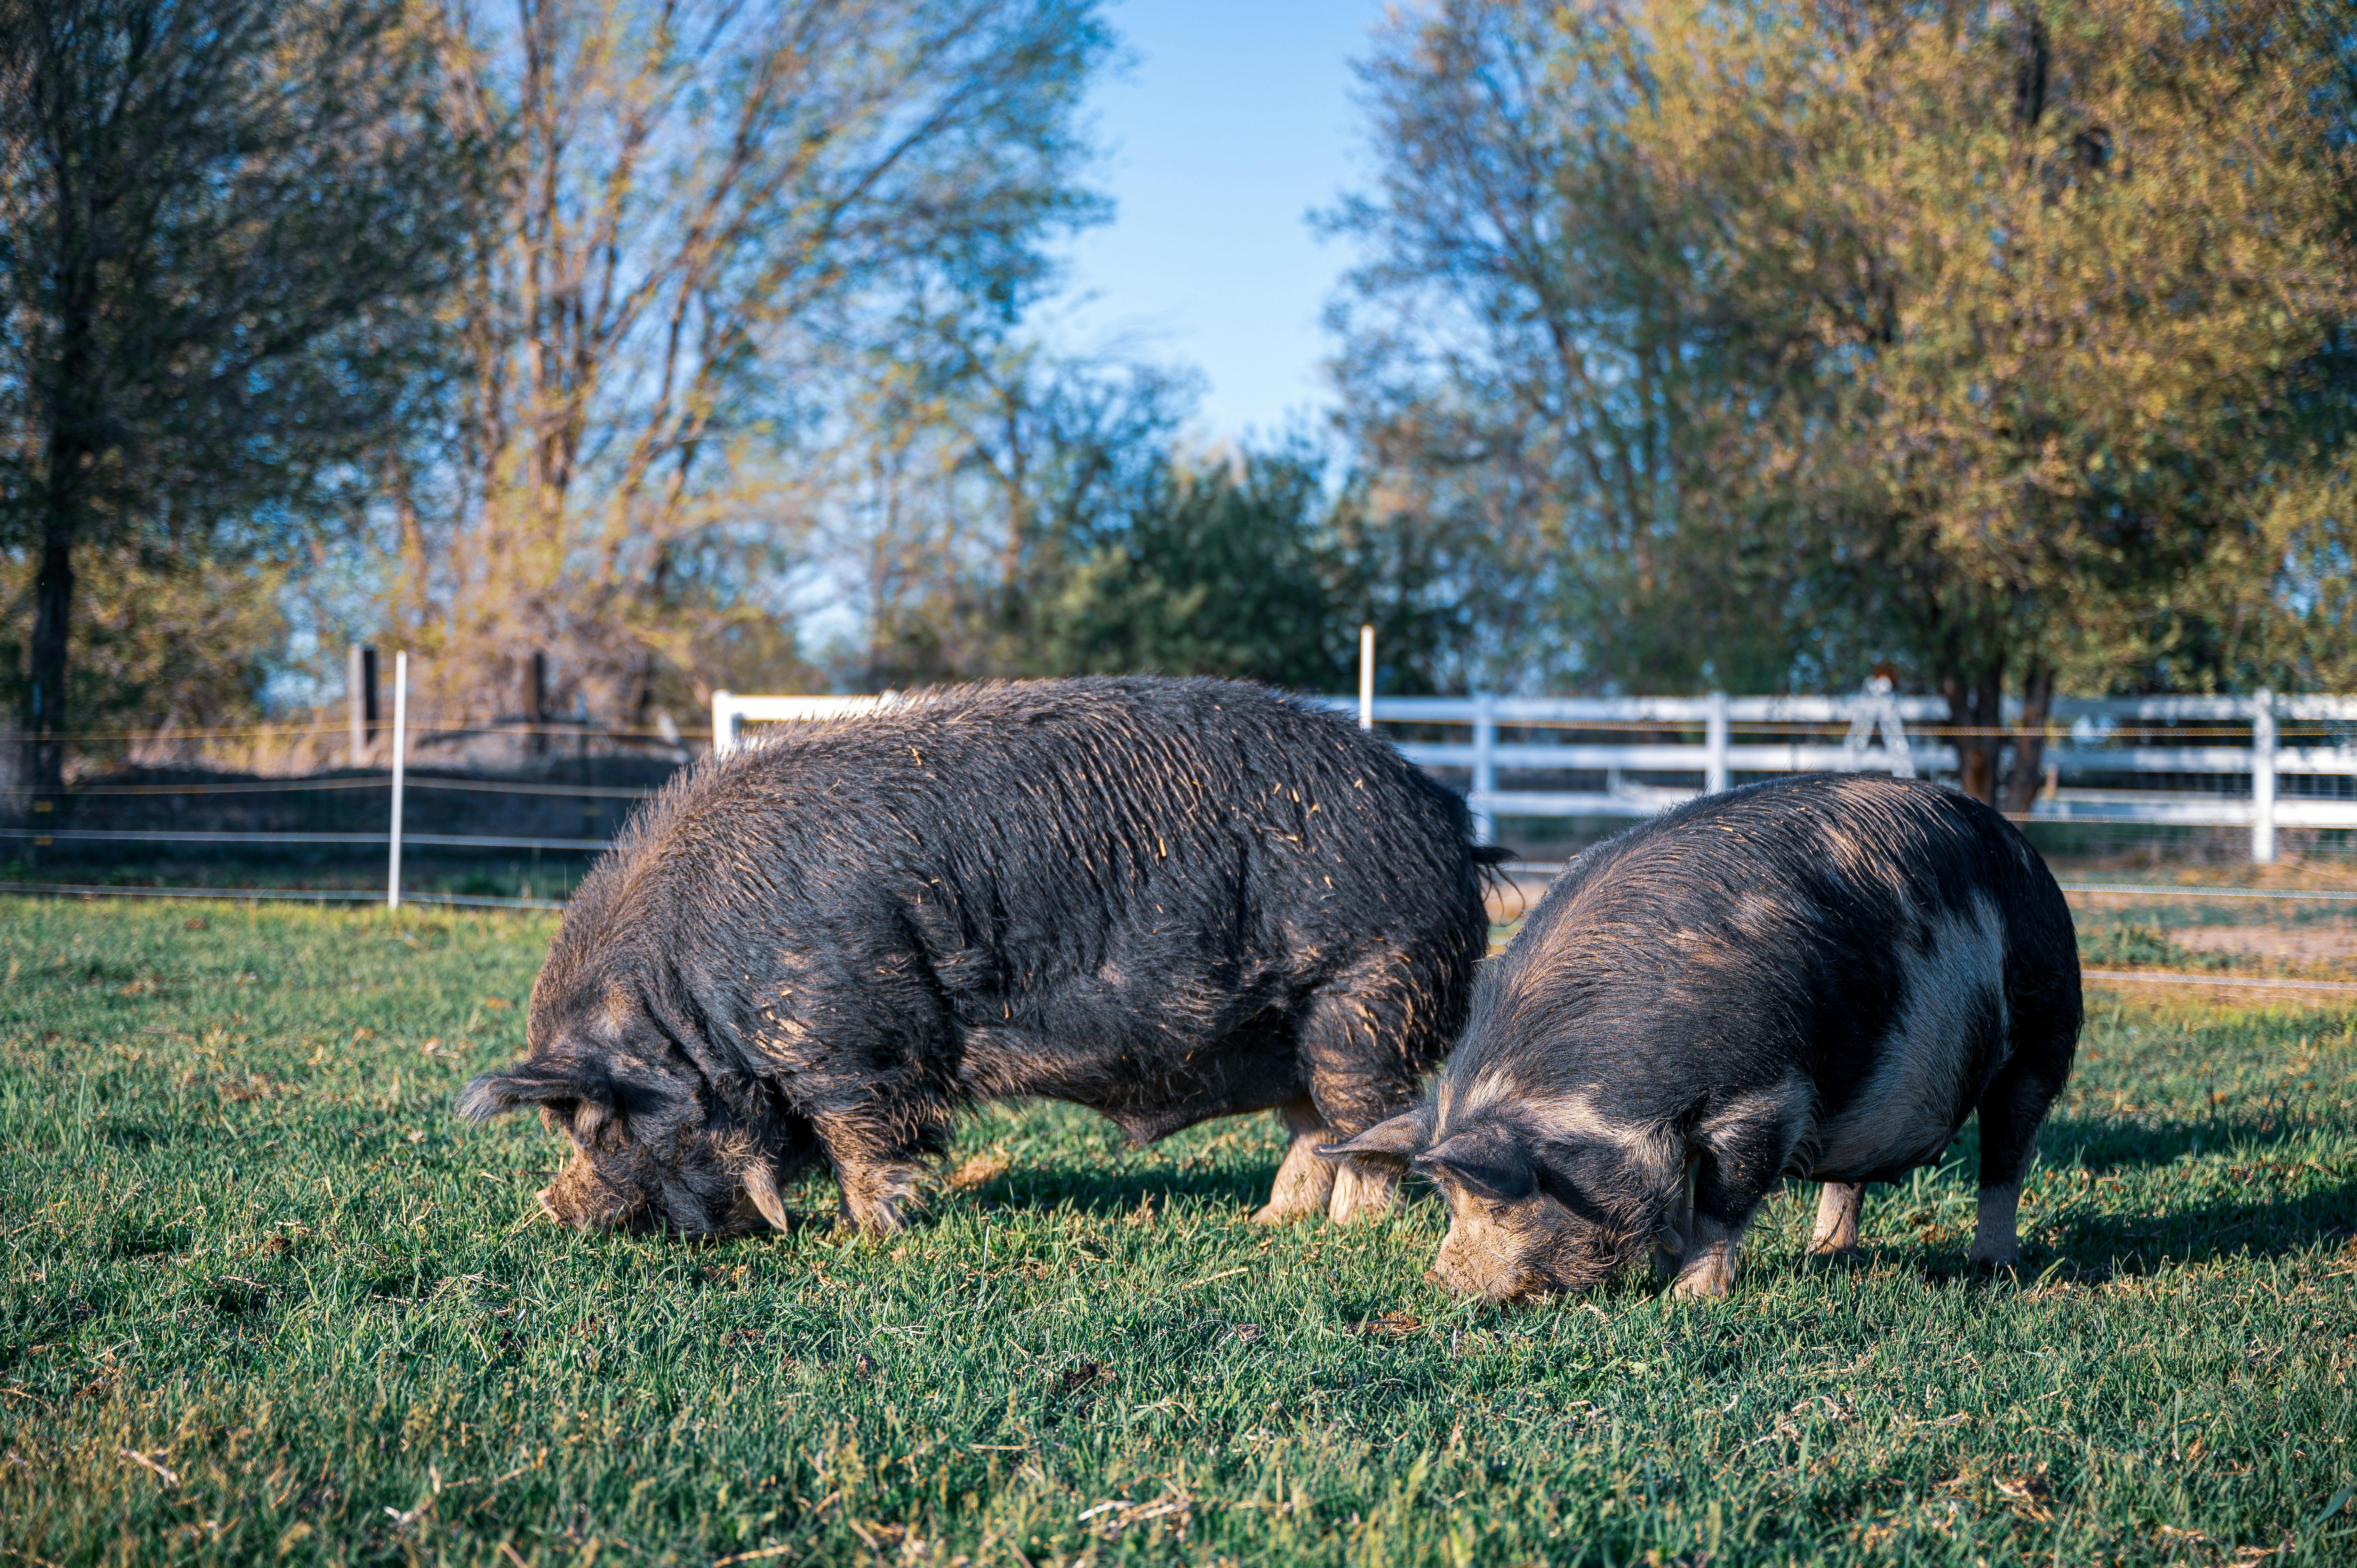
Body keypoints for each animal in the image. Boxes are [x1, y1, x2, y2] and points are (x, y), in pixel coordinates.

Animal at [457, 676, 1503, 1238]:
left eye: (598, 1124)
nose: (552, 1208)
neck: (693, 1004)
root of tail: (1451, 819)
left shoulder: (851, 1039)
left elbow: (866, 1139)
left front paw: (871, 1236)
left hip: (1365, 993)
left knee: (1365, 1125)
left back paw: (1339, 1232)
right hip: (1297, 1025)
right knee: (1309, 1127)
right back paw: (1267, 1225)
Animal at [1321, 772, 2081, 1300]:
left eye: (1495, 1201)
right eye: (1446, 1202)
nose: (1441, 1284)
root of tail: (2028, 852)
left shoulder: (1765, 1096)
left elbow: (1721, 1202)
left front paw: (1690, 1297)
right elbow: (1682, 1198)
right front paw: (1665, 1272)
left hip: (2044, 1033)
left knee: (2007, 1155)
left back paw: (1990, 1268)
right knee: (1851, 1178)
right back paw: (1825, 1257)